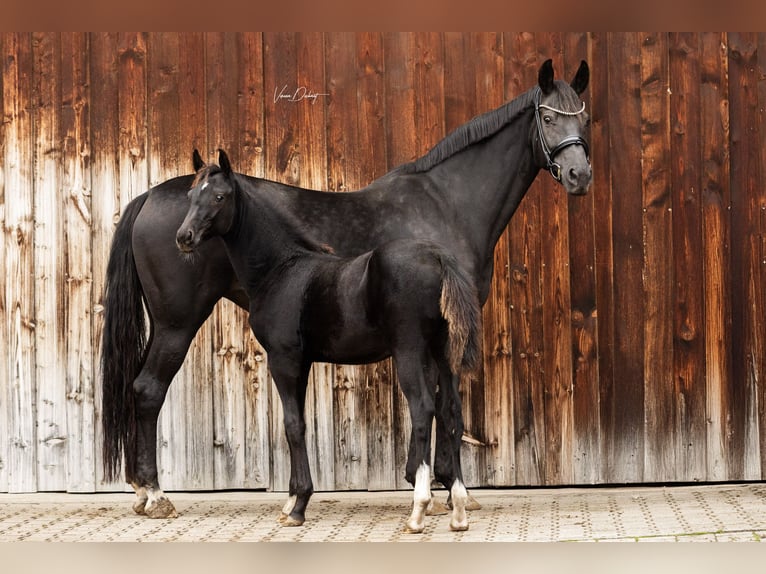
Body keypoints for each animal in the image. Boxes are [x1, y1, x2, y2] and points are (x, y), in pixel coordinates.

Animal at [176, 149, 482, 532]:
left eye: (219, 196)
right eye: (190, 195)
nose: (184, 236)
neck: (282, 269)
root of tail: (439, 257)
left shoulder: (283, 359)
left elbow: (293, 425)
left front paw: (297, 506)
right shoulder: (303, 360)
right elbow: (297, 422)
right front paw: (291, 500)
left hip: (410, 351)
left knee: (424, 409)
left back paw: (419, 509)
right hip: (444, 353)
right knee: (451, 410)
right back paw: (458, 509)